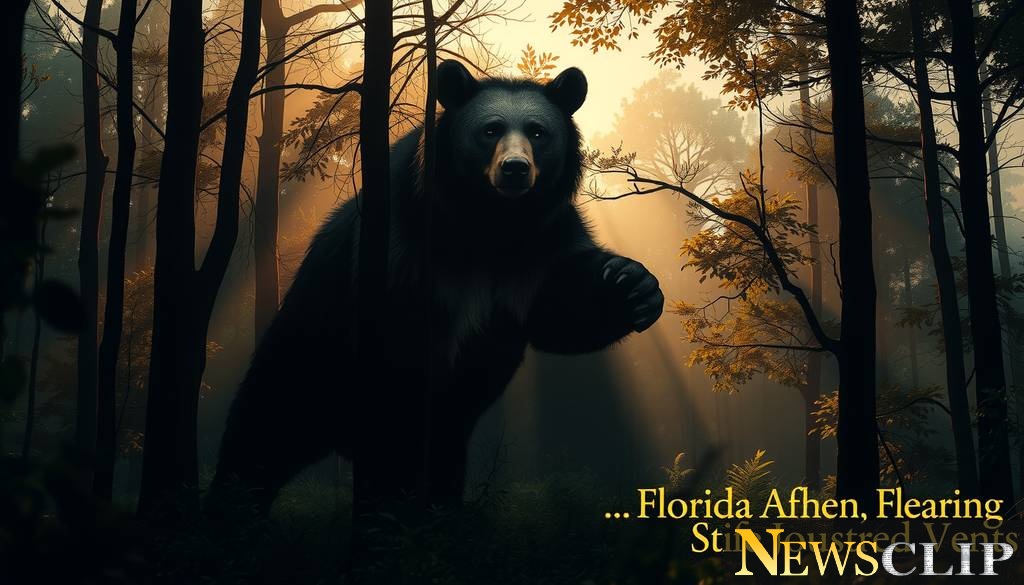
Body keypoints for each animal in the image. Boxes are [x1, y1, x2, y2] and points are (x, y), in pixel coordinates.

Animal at [209, 60, 665, 513]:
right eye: (490, 130)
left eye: (537, 131)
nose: (515, 168)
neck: (492, 223)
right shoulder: (404, 241)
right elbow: (400, 344)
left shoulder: (542, 243)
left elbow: (560, 309)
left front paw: (632, 286)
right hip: (309, 354)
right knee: (262, 433)